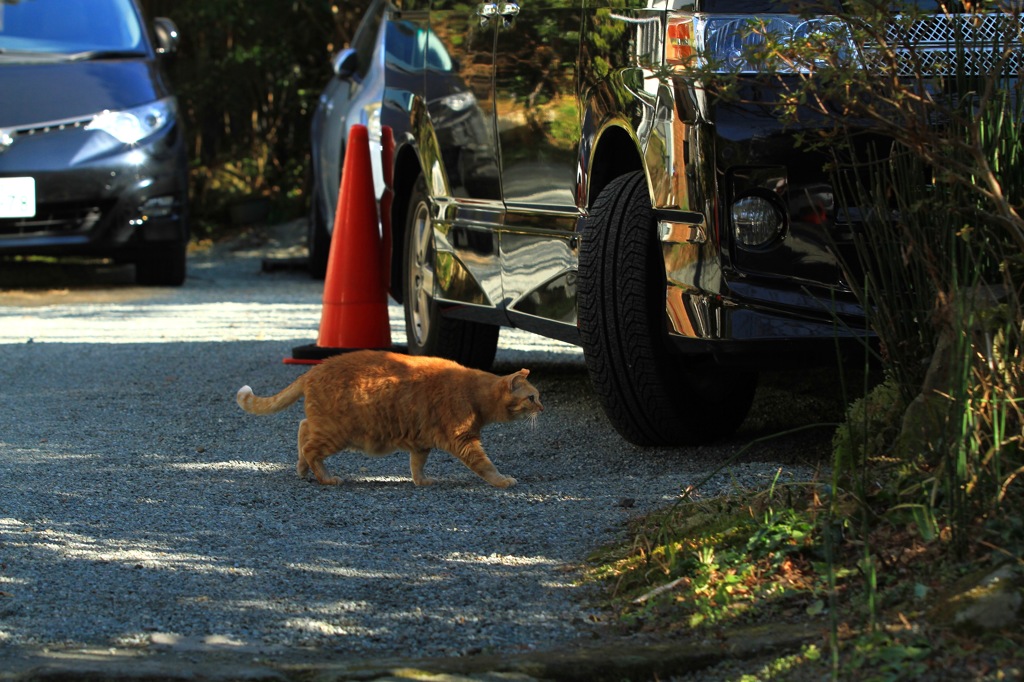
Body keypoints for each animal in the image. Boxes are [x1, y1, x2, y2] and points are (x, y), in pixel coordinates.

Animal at [234, 350, 540, 483]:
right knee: (310, 447)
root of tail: (316, 367)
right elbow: (485, 465)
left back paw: (300, 468)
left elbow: (417, 465)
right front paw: (502, 480)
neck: (474, 391)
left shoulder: (421, 441)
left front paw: (422, 482)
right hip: (336, 432)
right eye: (532, 398)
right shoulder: (463, 439)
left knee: (303, 427)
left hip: (326, 426)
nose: (543, 408)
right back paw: (326, 477)